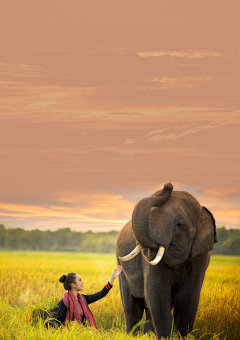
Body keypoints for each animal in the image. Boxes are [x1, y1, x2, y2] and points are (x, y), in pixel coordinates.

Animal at [116, 185, 218, 338]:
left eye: (179, 225)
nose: (168, 186)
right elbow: (158, 294)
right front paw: (171, 337)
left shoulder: (200, 257)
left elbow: (187, 297)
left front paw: (181, 336)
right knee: (131, 306)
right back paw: (132, 336)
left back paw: (148, 336)